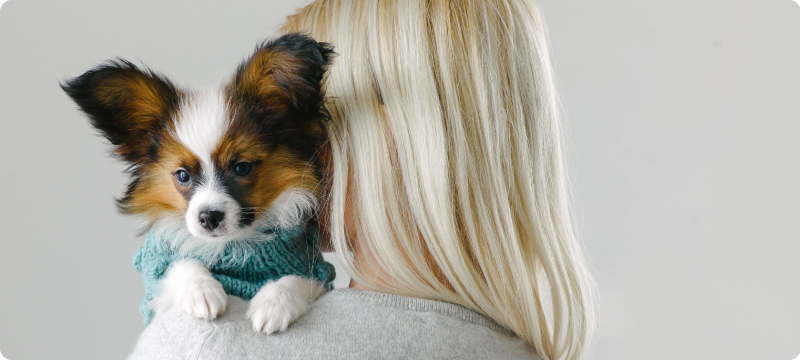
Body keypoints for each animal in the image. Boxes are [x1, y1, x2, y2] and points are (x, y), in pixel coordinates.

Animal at [62, 33, 334, 334]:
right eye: (182, 175)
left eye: (241, 168)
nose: (209, 217)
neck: (232, 245)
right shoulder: (155, 281)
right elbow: (181, 265)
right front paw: (201, 290)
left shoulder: (317, 271)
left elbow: (299, 279)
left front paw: (274, 303)